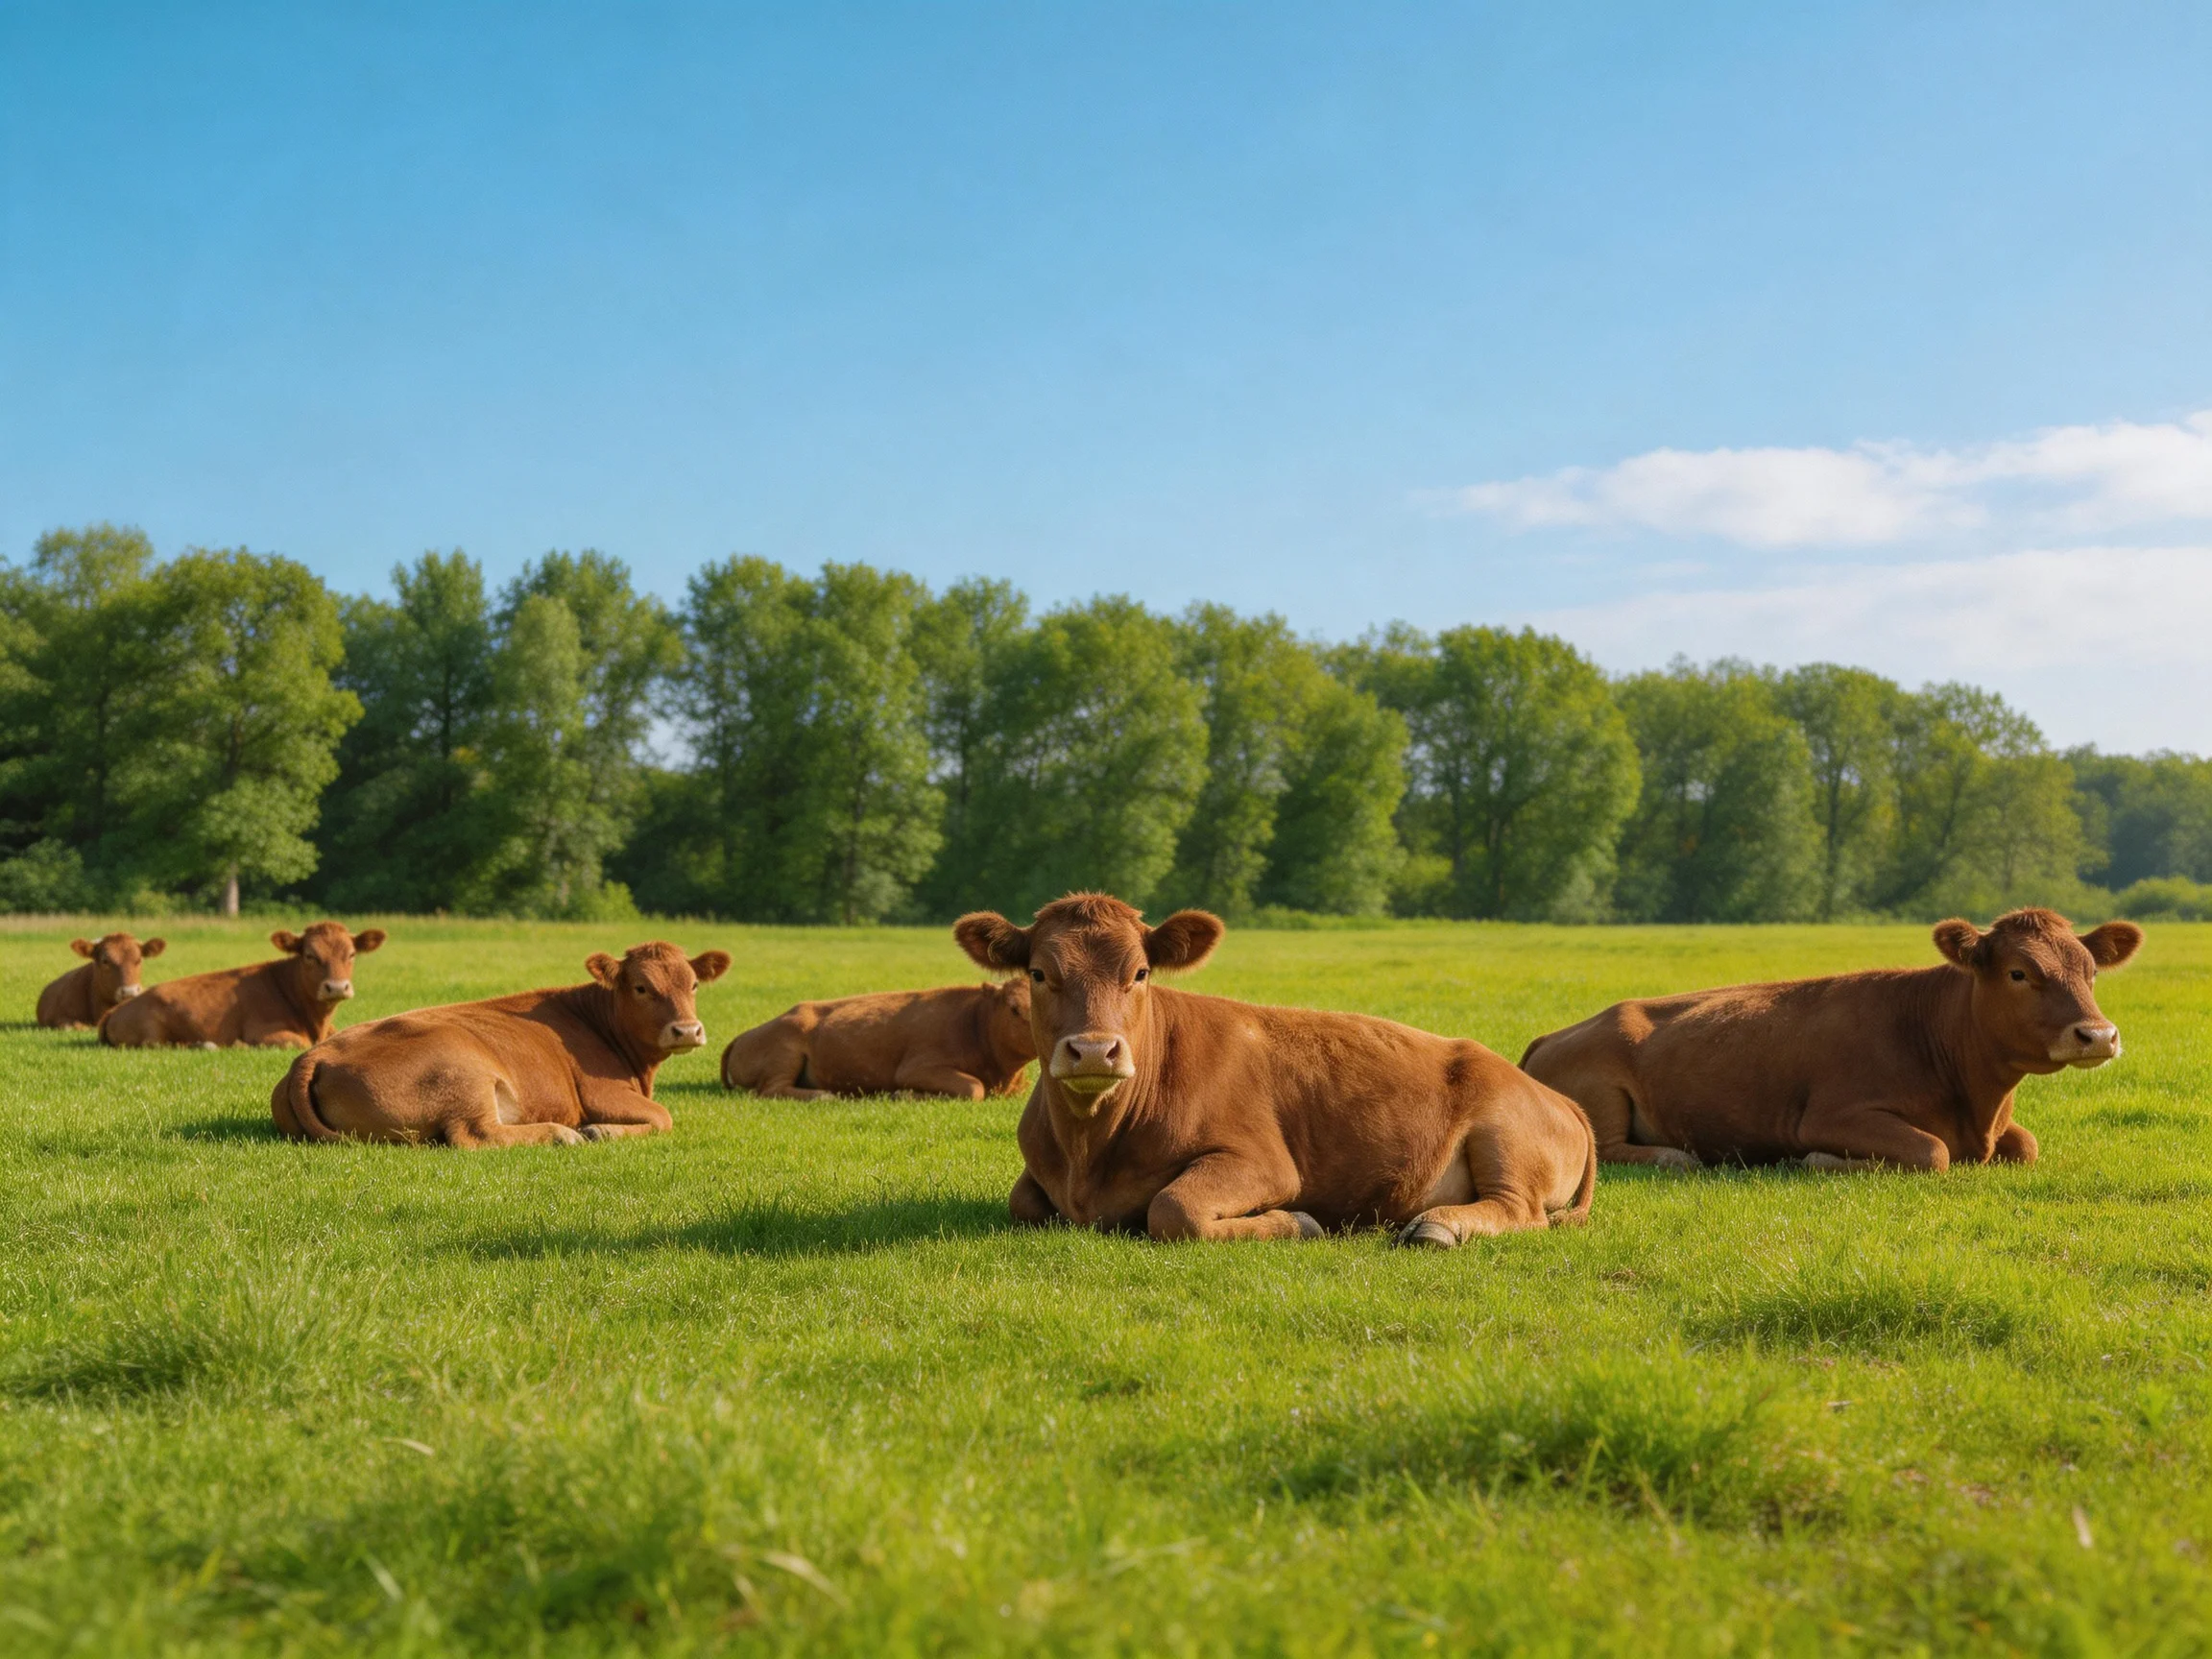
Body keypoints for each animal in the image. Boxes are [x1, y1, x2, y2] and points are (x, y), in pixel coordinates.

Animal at [100, 922, 385, 1049]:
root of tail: (115, 1010)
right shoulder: (264, 1032)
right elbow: (301, 1044)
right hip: (152, 1031)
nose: (336, 987)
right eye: (309, 955)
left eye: (351, 954)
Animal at [271, 941, 730, 1148]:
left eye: (693, 984)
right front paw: (600, 1129)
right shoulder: (602, 1092)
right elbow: (663, 1116)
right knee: (474, 1134)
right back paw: (563, 1134)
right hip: (465, 1074)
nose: (687, 1030)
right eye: (640, 987)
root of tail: (315, 1055)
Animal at [720, 980, 1035, 1101]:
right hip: (784, 1050)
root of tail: (742, 1037)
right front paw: (903, 1095)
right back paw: (824, 1095)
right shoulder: (915, 1067)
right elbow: (973, 1088)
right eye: (1014, 1008)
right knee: (770, 1090)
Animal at [951, 893, 1594, 1246]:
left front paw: (1298, 1223)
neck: (1090, 1151)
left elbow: (1173, 1209)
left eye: (1140, 973)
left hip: (1505, 1135)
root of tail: (1556, 1096)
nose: (1092, 1050)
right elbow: (1024, 1202)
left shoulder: (1262, 1161)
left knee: (1520, 1211)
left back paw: (1436, 1227)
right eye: (1039, 973)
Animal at [1519, 908, 2145, 1173]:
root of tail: (1553, 1034)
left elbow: (2027, 1145)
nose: (2098, 1034)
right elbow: (1933, 1151)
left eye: (2091, 970)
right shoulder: (1828, 1115)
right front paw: (1819, 1161)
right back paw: (1676, 1156)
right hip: (1601, 1092)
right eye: (2018, 973)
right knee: (1608, 1146)